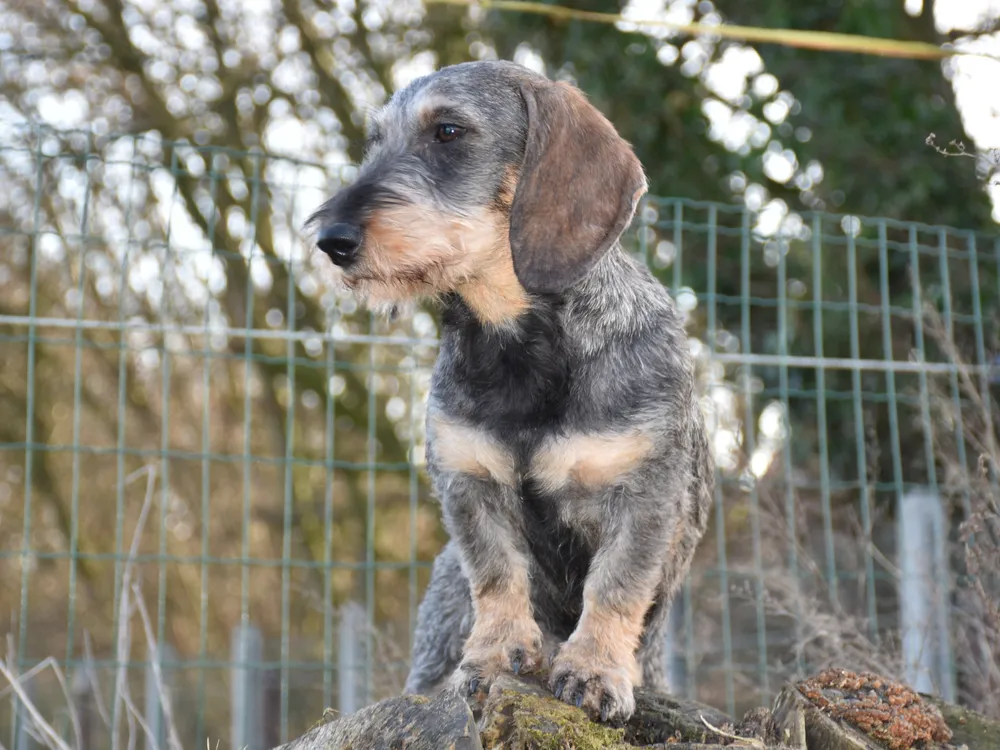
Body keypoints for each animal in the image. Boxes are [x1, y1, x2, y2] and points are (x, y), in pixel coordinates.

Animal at [309, 59, 713, 723]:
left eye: (448, 130)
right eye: (375, 142)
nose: (331, 241)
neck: (514, 339)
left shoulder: (645, 496)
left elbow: (615, 586)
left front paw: (594, 670)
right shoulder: (467, 484)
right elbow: (497, 576)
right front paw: (495, 657)